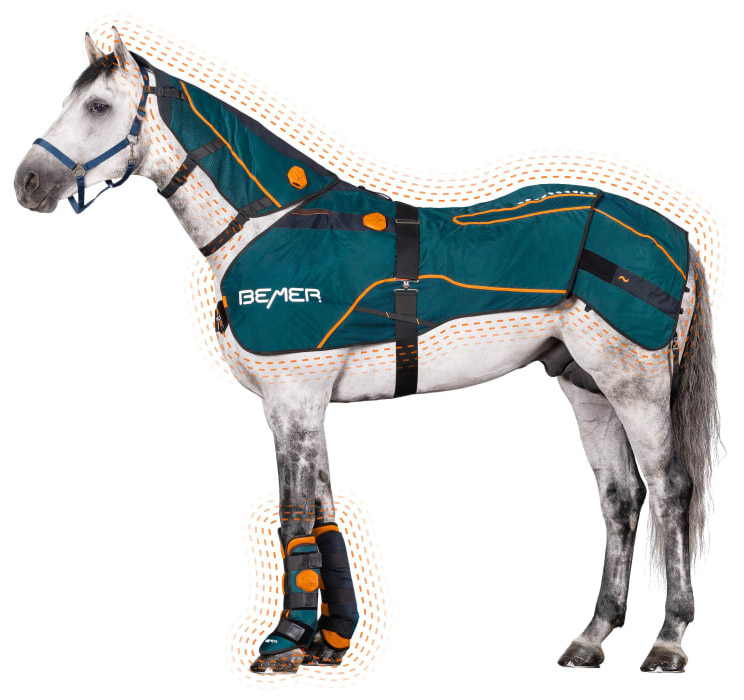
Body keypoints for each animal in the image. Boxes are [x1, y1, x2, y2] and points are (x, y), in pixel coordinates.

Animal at [14, 28, 719, 674]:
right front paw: (327, 642)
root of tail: (677, 234)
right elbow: (323, 518)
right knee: (621, 497)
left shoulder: (293, 401)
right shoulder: (301, 407)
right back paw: (591, 637)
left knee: (670, 488)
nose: (28, 182)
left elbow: (293, 519)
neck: (274, 223)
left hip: (635, 384)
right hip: (585, 385)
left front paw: (282, 643)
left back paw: (668, 640)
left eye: (98, 105)